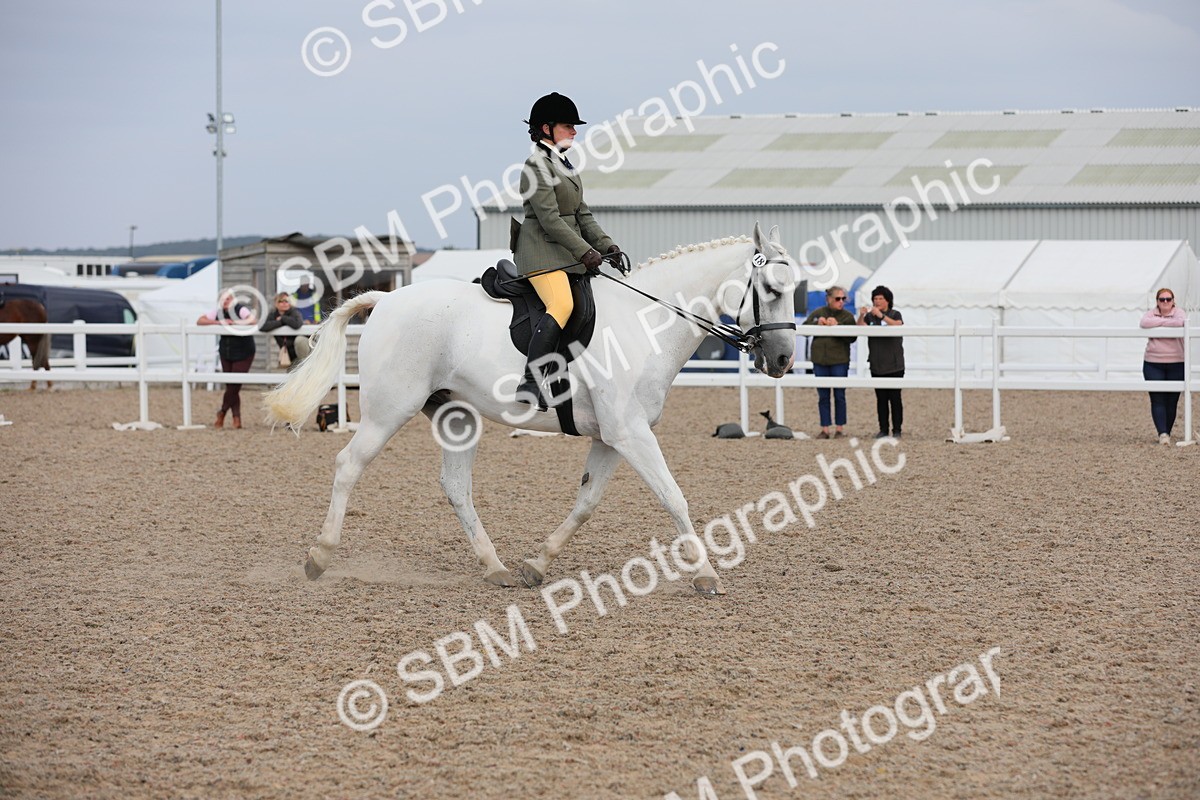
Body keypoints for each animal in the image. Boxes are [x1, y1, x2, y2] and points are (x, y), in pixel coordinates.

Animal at [264, 223, 798, 595]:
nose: (783, 360)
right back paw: (319, 557)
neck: (645, 323)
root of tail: (388, 298)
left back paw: (495, 568)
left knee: (456, 487)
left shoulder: (612, 437)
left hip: (457, 417)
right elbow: (674, 497)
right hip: (388, 411)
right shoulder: (630, 434)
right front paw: (706, 575)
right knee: (348, 465)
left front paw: (535, 566)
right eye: (770, 289)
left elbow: (586, 503)